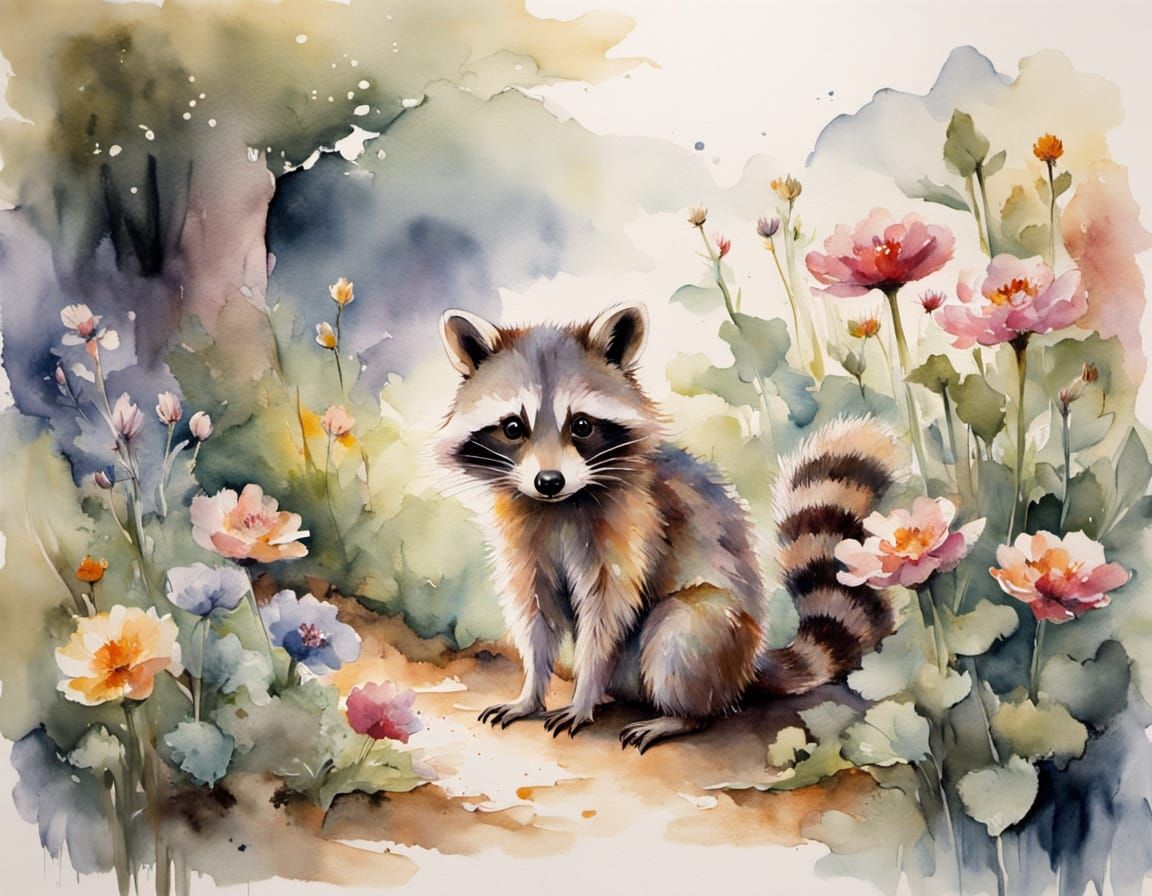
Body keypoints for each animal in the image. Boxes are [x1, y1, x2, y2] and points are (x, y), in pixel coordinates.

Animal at [436, 303, 901, 751]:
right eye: (513, 427)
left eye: (582, 425)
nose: (548, 481)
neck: (559, 505)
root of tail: (749, 666)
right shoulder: (522, 529)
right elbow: (536, 612)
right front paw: (531, 692)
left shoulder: (635, 520)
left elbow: (607, 612)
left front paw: (583, 694)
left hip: (716, 637)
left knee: (683, 625)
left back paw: (680, 715)